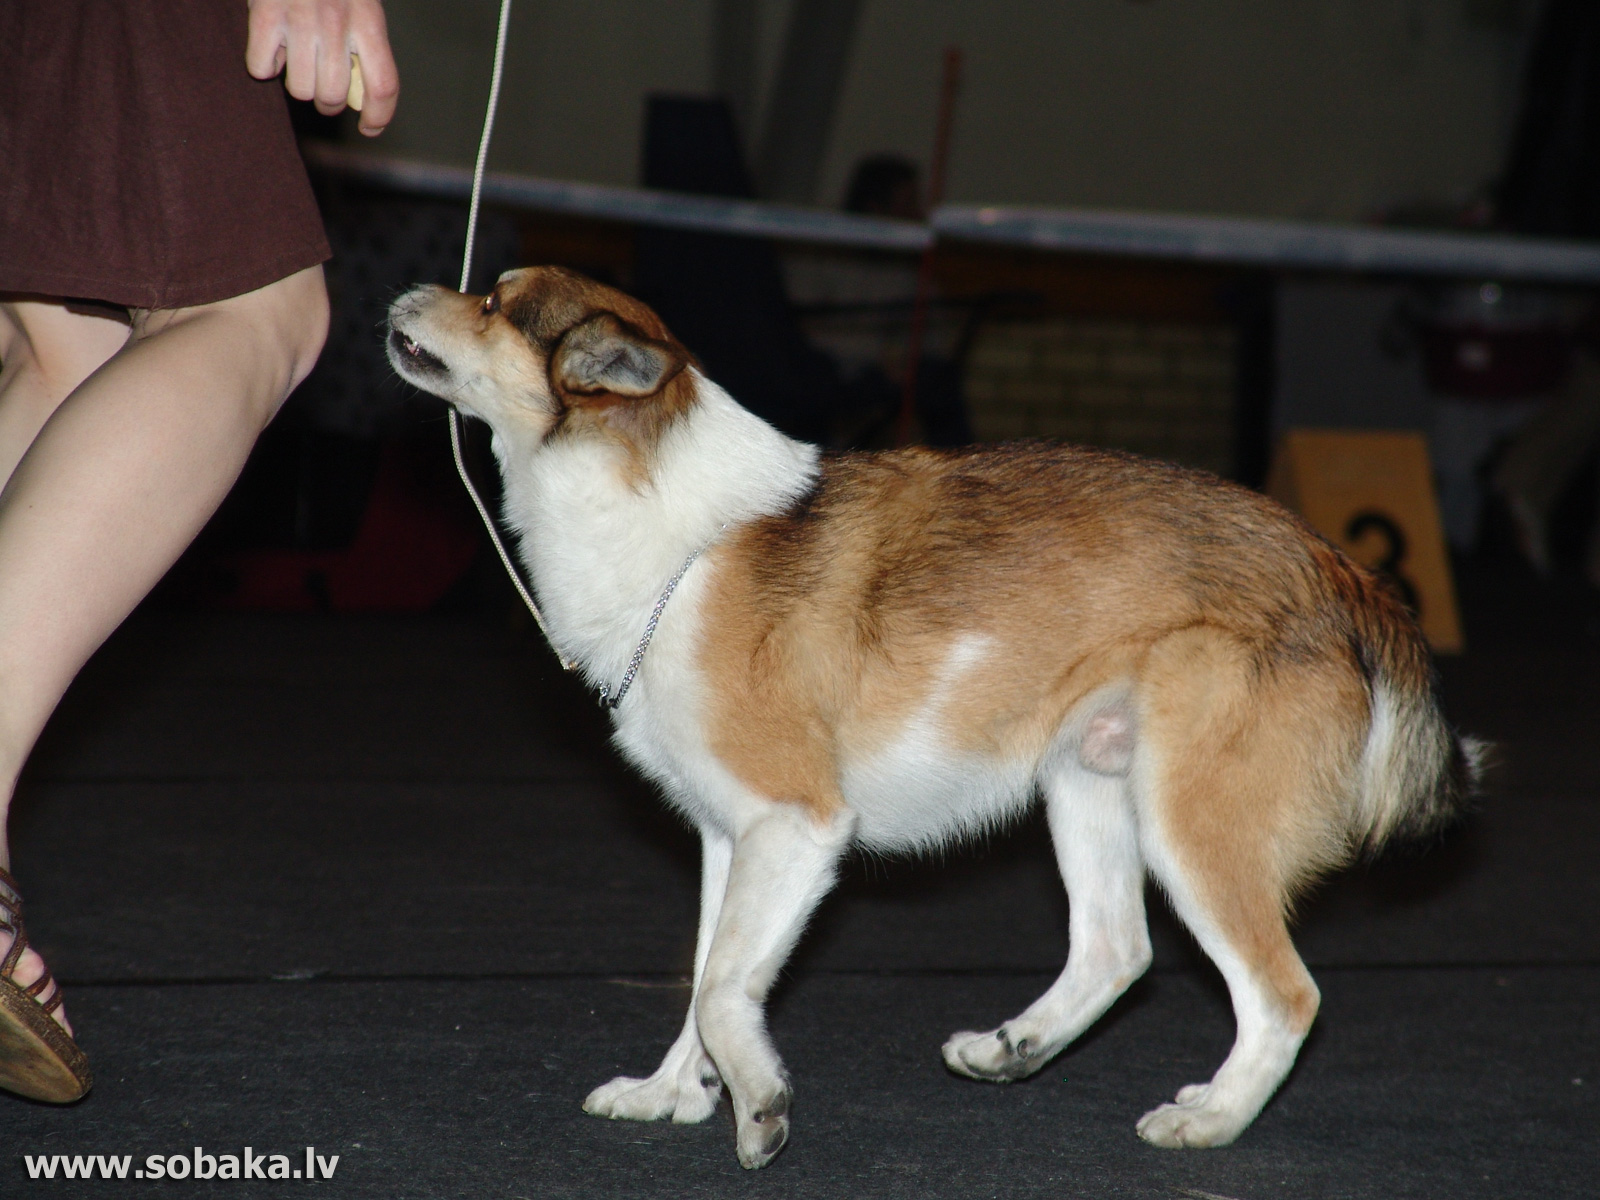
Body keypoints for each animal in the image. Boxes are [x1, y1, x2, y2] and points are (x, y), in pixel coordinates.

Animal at [384, 265, 1472, 1177]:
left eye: (494, 303)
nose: (405, 293)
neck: (674, 539)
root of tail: (1342, 572)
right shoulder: (729, 838)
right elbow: (704, 974)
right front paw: (672, 1093)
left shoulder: (797, 824)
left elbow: (724, 986)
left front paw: (759, 1103)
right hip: (1087, 782)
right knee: (1114, 949)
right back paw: (1013, 1050)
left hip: (1191, 821)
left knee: (1282, 996)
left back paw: (1211, 1119)